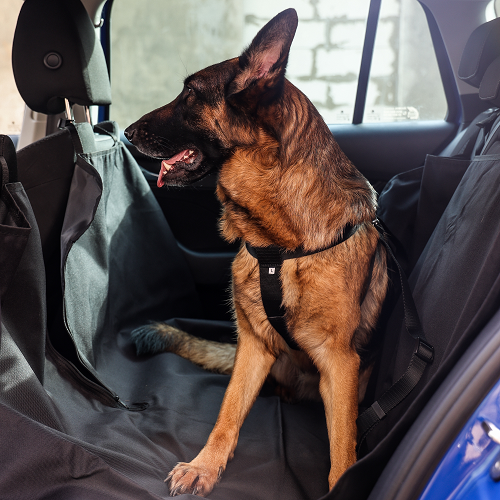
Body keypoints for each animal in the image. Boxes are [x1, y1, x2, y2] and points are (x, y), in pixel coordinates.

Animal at [124, 7, 386, 496]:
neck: (279, 247)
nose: (127, 132)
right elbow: (227, 415)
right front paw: (205, 466)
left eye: (190, 93)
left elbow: (342, 450)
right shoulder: (254, 346)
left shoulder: (339, 362)